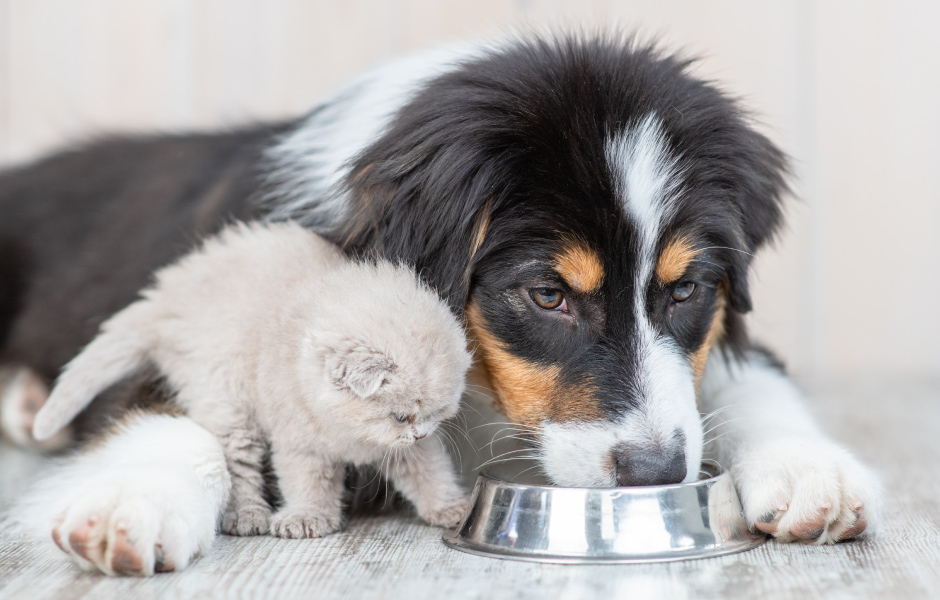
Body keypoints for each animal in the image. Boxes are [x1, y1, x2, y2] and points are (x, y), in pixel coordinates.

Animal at [33, 221, 474, 540]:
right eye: (401, 416)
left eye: (437, 416)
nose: (418, 432)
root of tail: (165, 297)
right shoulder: (299, 443)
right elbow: (307, 484)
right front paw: (307, 517)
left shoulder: (407, 451)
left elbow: (430, 475)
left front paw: (451, 508)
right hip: (225, 398)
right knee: (237, 463)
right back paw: (247, 515)